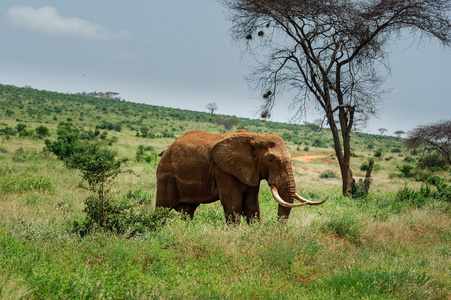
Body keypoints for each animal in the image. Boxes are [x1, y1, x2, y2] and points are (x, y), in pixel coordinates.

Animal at [155, 129, 324, 223]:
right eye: (271, 160)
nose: (276, 231)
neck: (256, 137)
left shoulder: (251, 171)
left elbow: (251, 205)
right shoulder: (223, 170)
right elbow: (233, 204)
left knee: (187, 212)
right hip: (166, 176)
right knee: (162, 209)